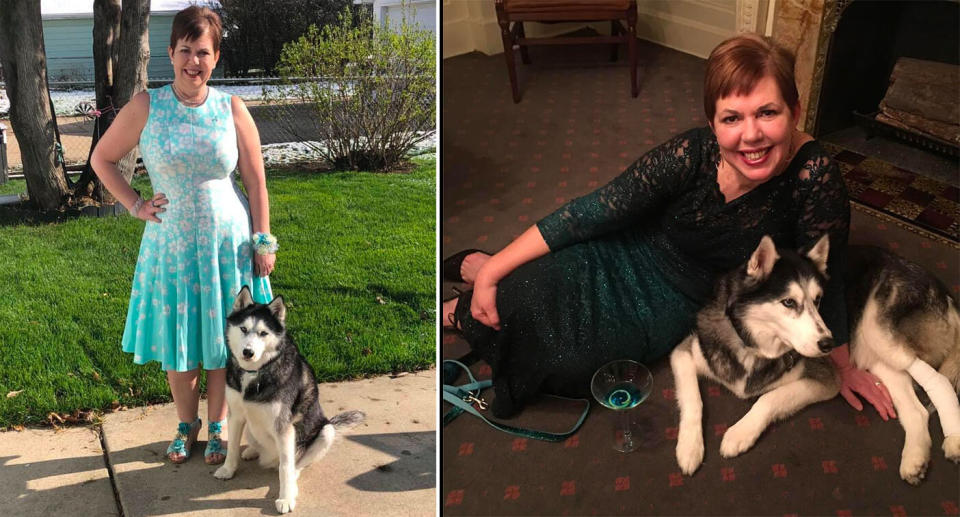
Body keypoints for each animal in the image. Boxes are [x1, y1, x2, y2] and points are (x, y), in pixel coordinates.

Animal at [216, 286, 366, 512]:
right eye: (243, 329)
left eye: (263, 333)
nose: (248, 352)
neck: (255, 373)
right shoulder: (235, 415)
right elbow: (232, 447)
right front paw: (228, 469)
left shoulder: (284, 428)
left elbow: (285, 467)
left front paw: (286, 498)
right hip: (251, 428)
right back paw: (251, 451)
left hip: (326, 431)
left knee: (296, 463)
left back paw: (293, 478)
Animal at [668, 235, 960, 484]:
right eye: (788, 302)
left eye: (818, 300)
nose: (829, 344)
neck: (754, 347)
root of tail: (945, 292)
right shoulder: (684, 352)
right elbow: (693, 399)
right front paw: (689, 448)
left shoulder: (828, 379)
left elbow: (769, 398)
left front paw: (740, 432)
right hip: (874, 355)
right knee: (916, 411)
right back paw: (915, 460)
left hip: (879, 331)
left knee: (940, 381)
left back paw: (954, 439)